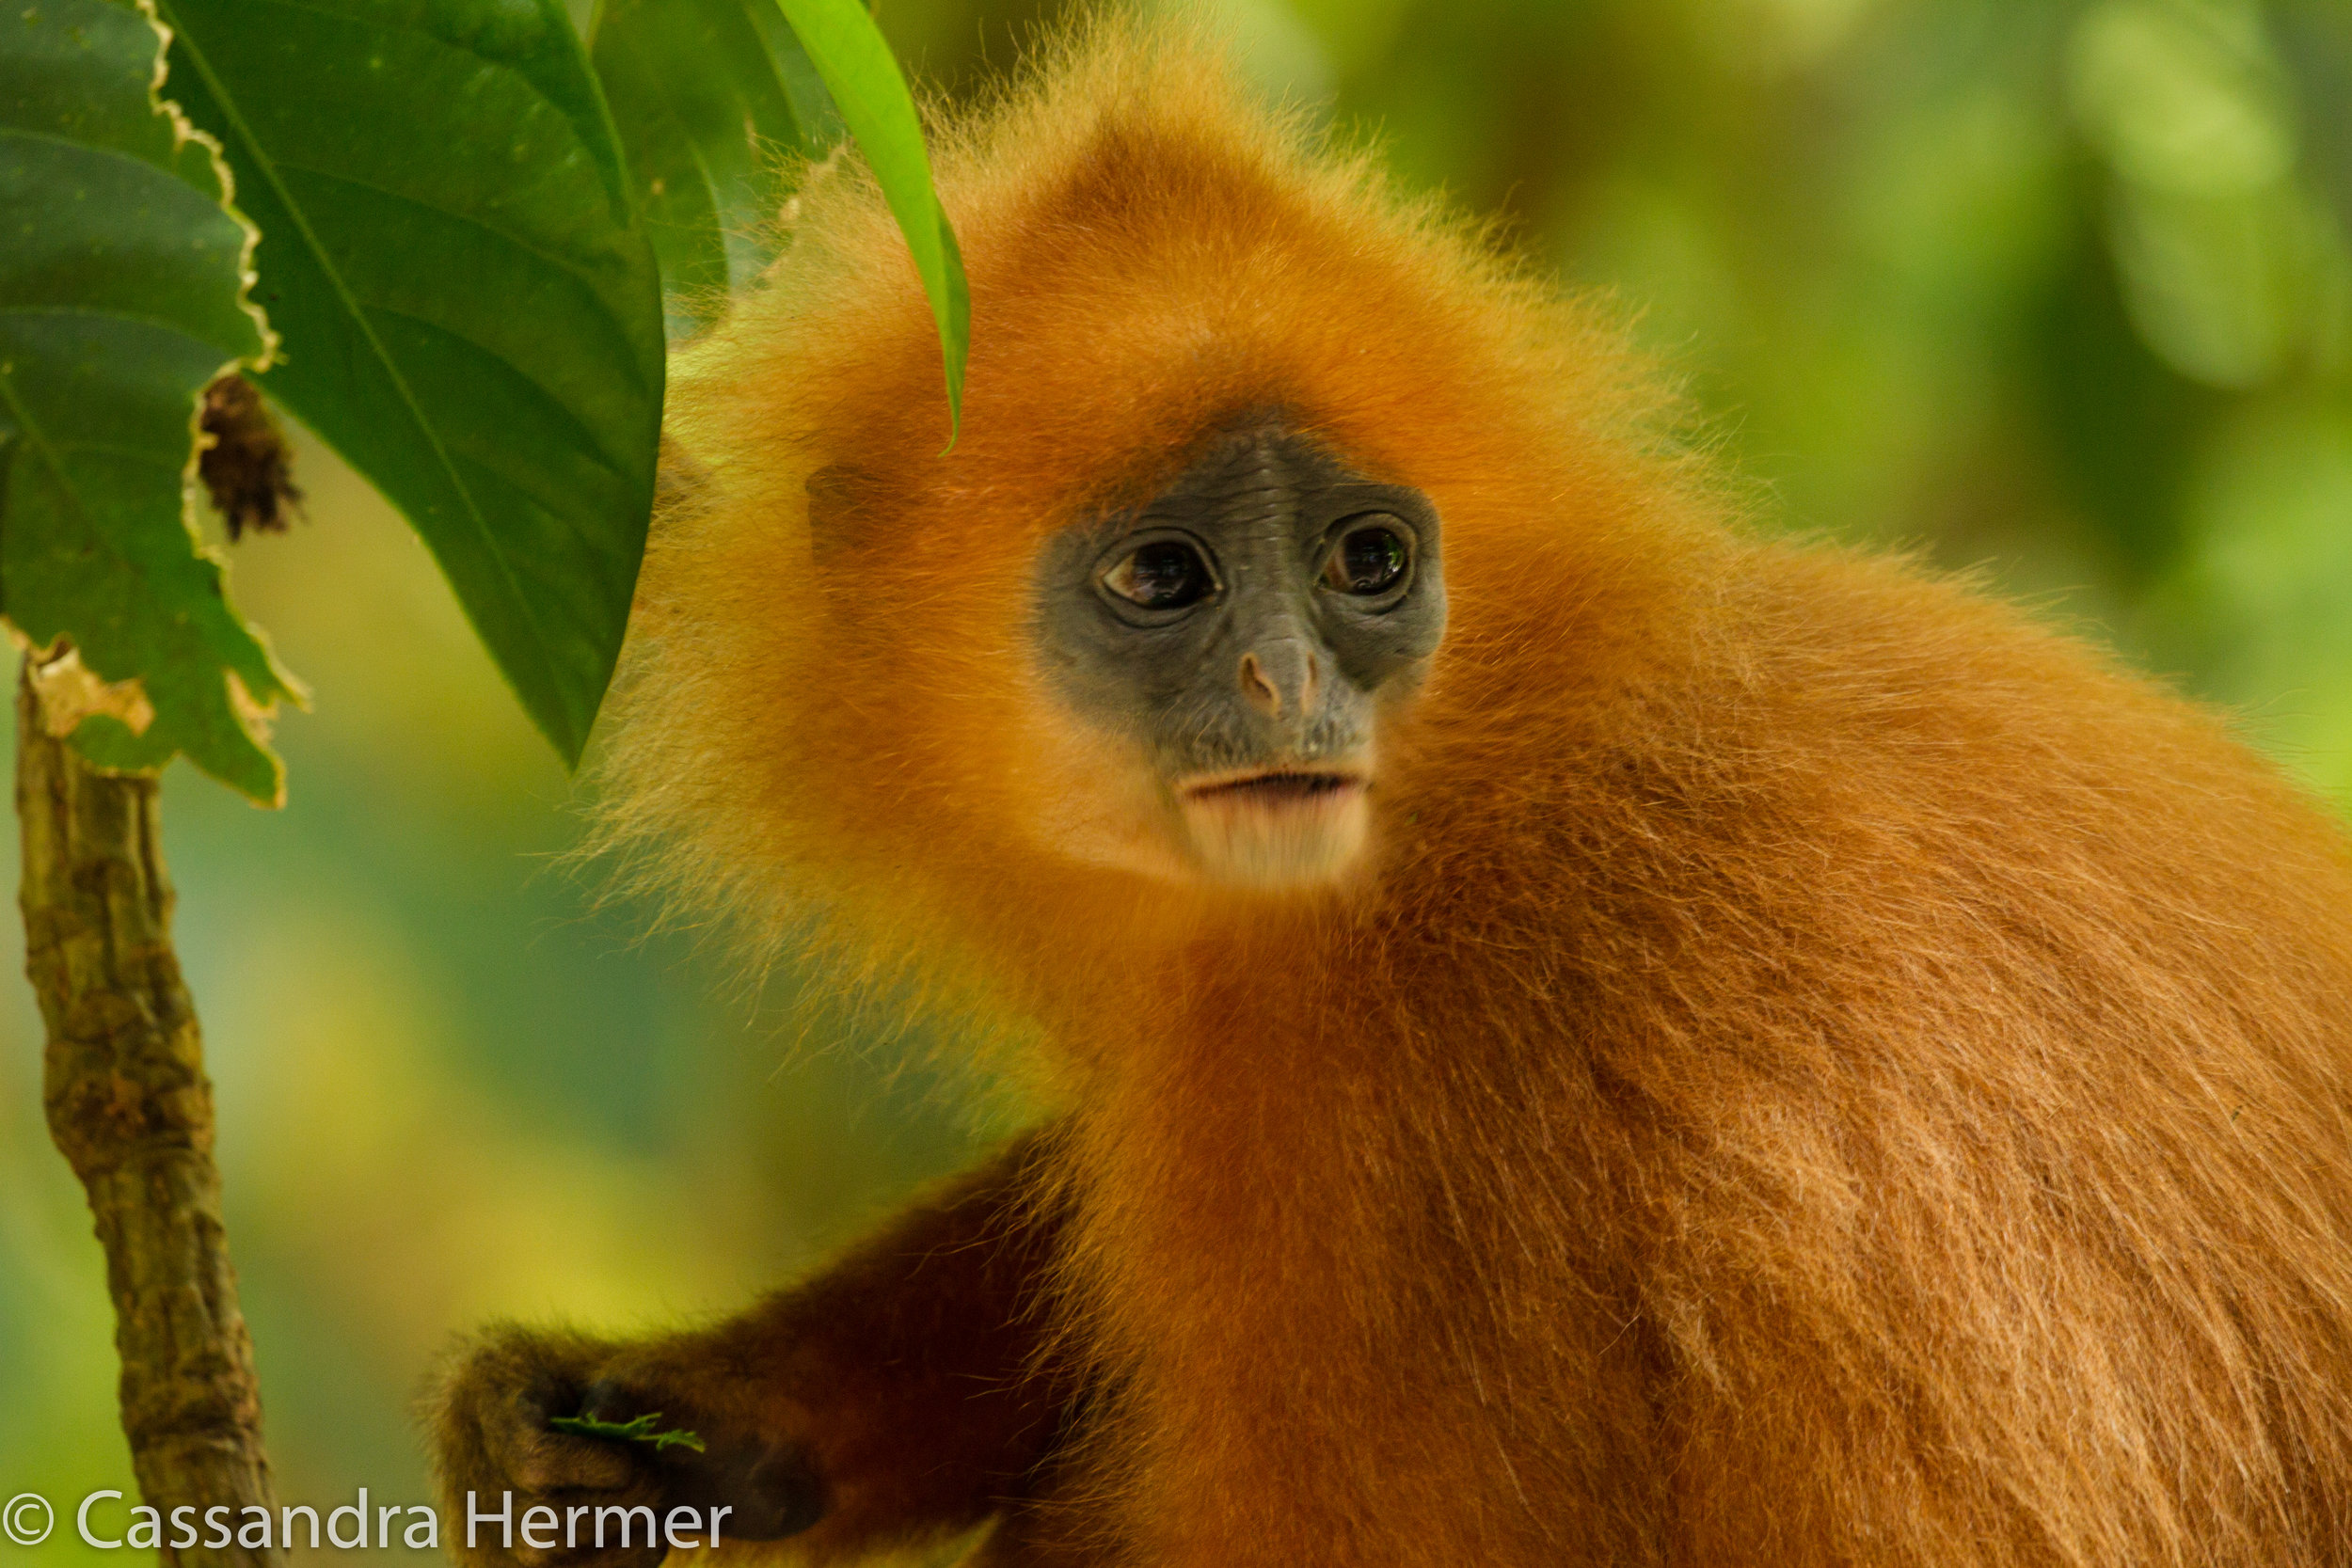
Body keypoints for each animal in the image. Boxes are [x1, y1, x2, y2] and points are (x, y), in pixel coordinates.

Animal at [429, 18, 2352, 1568]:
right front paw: (697, 1420)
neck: (1504, 800)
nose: (1289, 678)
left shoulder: (1390, 1124)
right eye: (1167, 579)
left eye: (1366, 563)